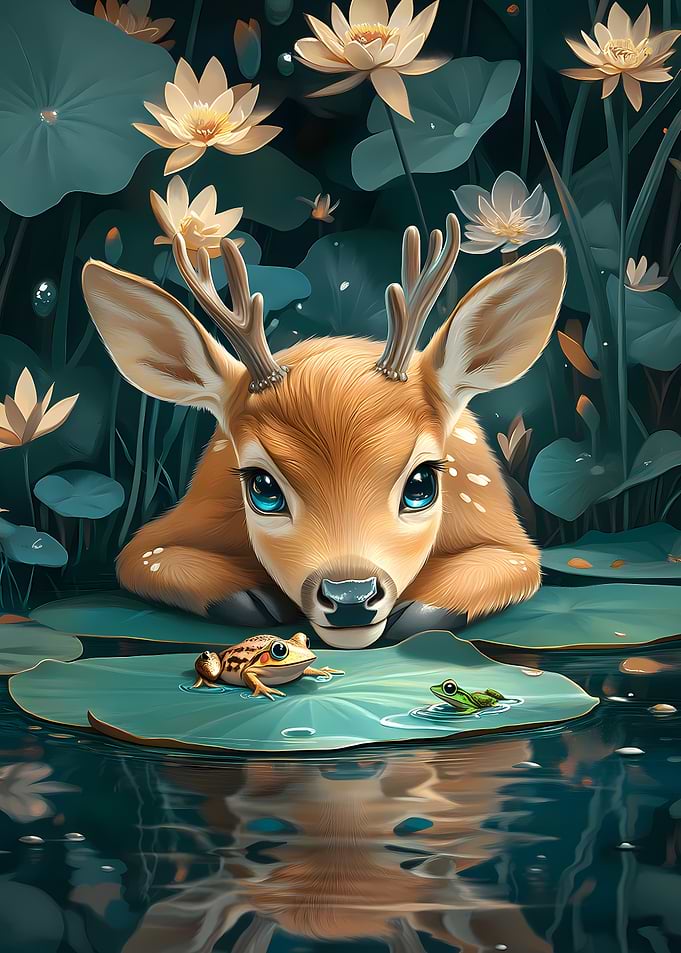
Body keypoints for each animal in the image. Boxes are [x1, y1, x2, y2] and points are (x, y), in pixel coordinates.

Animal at [81, 212, 566, 648]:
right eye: (262, 488)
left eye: (422, 483)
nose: (350, 596)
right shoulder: (182, 518)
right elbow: (140, 559)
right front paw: (252, 598)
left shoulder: (498, 522)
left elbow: (520, 566)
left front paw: (418, 611)